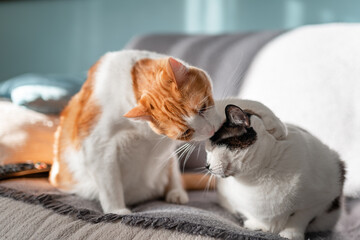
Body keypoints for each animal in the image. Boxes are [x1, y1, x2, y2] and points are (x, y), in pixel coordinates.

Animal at [49, 49, 221, 215]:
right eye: (186, 132)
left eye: (203, 108)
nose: (211, 131)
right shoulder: (98, 144)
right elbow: (110, 184)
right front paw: (117, 210)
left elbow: (173, 172)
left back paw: (176, 193)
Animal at [205, 98, 344, 240]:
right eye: (207, 150)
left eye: (215, 147)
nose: (207, 165)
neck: (257, 177)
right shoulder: (232, 199)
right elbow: (251, 213)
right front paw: (259, 226)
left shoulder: (322, 198)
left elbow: (300, 217)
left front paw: (291, 234)